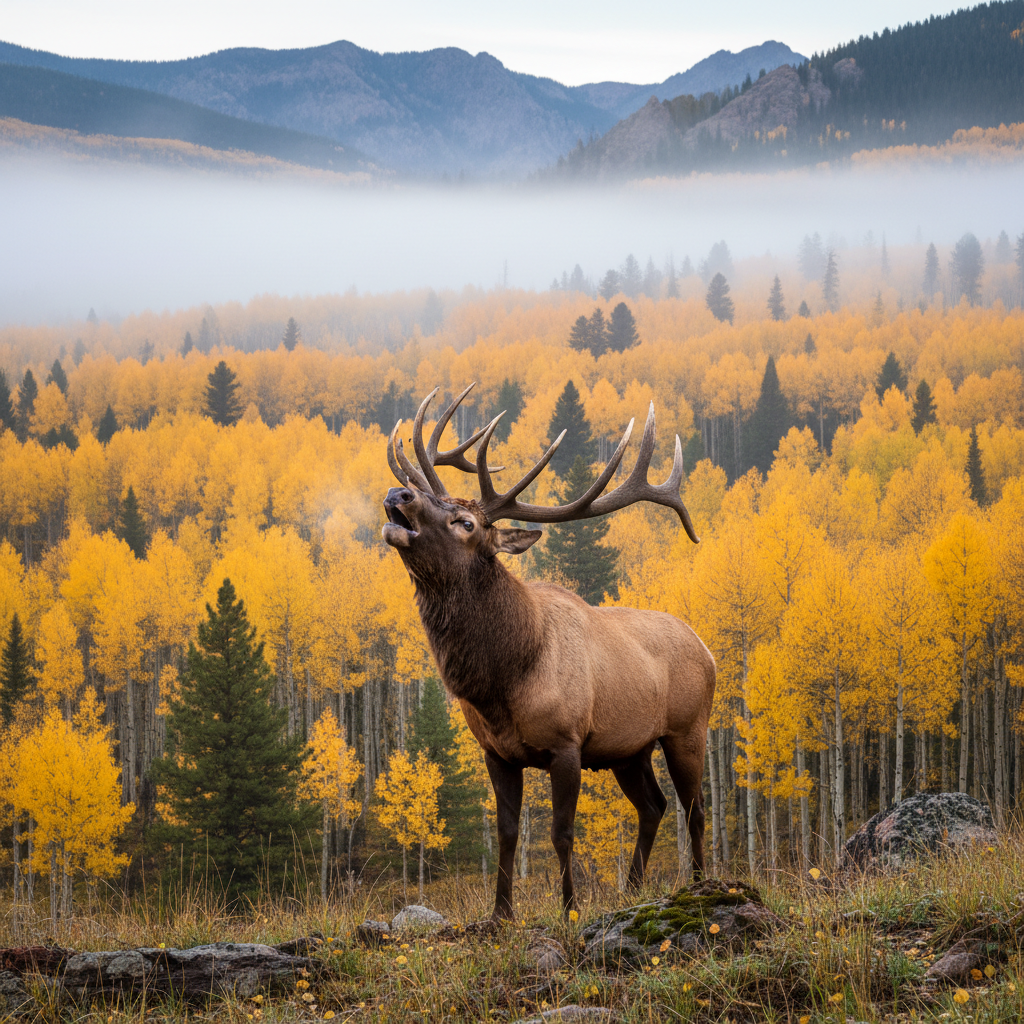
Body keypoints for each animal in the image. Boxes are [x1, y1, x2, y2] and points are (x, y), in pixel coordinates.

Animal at [381, 383, 716, 922]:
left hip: (688, 728)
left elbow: (562, 832)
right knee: (654, 805)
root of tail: (708, 651)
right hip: (630, 748)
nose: (399, 494)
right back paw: (632, 888)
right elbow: (507, 833)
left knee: (695, 807)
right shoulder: (496, 753)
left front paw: (569, 909)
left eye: (466, 522)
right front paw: (500, 915)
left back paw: (702, 884)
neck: (504, 681)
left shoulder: (567, 743)